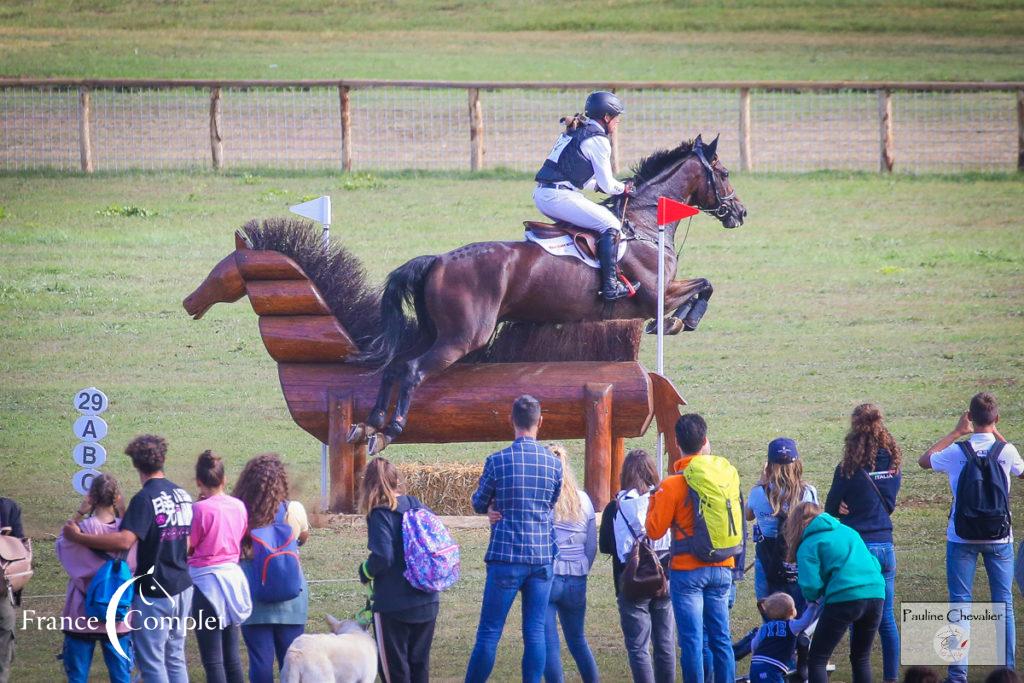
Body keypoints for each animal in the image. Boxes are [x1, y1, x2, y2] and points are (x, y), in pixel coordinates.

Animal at [356, 133, 749, 454]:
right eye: (725, 172)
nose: (740, 212)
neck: (646, 223)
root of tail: (437, 260)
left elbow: (705, 285)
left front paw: (676, 323)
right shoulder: (659, 294)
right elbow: (704, 286)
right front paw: (678, 323)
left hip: (433, 332)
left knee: (394, 367)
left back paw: (370, 424)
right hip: (461, 338)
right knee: (411, 371)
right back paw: (388, 430)